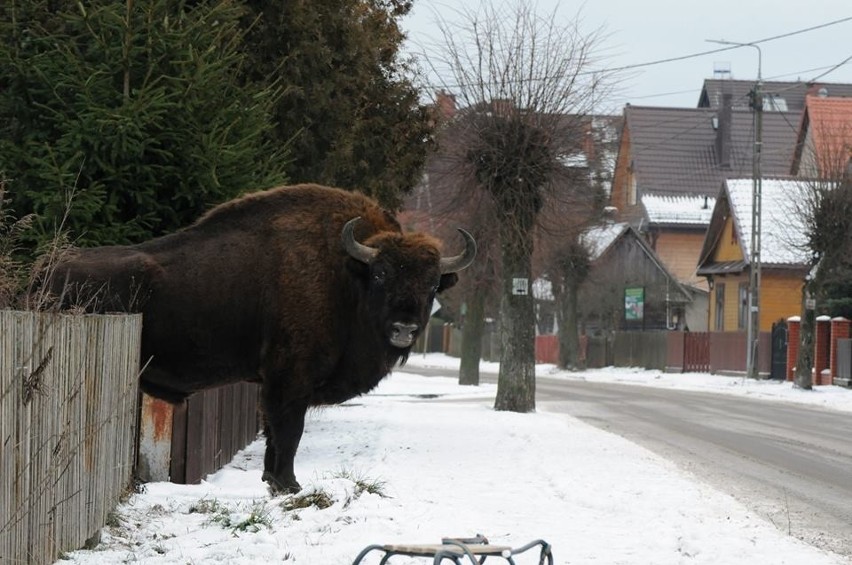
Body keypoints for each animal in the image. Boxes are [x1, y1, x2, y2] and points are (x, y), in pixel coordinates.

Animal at [50, 183, 476, 492]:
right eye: (382, 274)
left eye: (433, 282)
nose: (404, 328)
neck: (346, 274)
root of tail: (46, 269)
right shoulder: (289, 382)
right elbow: (288, 432)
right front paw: (288, 485)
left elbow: (274, 435)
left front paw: (273, 481)